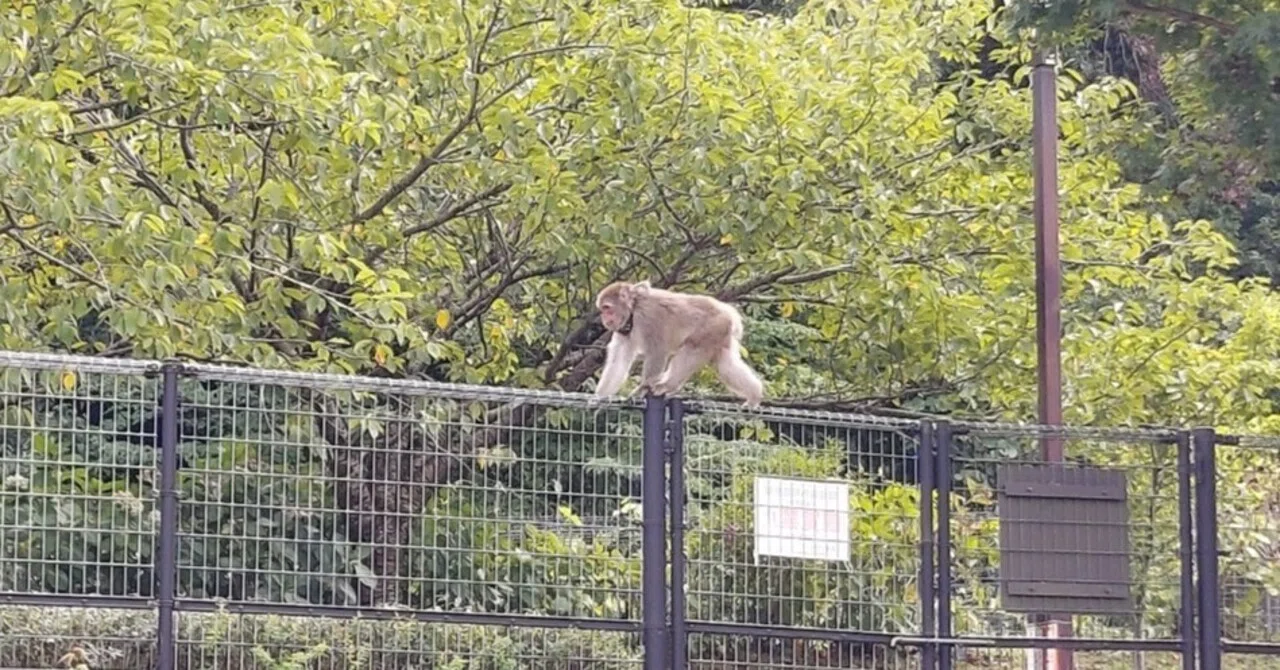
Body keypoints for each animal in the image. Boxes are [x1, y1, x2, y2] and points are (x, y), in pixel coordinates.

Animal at [593, 280, 765, 407]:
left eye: (607, 308)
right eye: (602, 310)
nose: (604, 319)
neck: (634, 308)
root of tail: (731, 313)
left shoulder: (648, 317)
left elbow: (657, 351)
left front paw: (643, 388)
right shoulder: (624, 329)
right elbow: (619, 360)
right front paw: (600, 397)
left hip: (712, 328)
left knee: (691, 350)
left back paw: (668, 385)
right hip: (721, 335)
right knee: (726, 366)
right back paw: (754, 395)